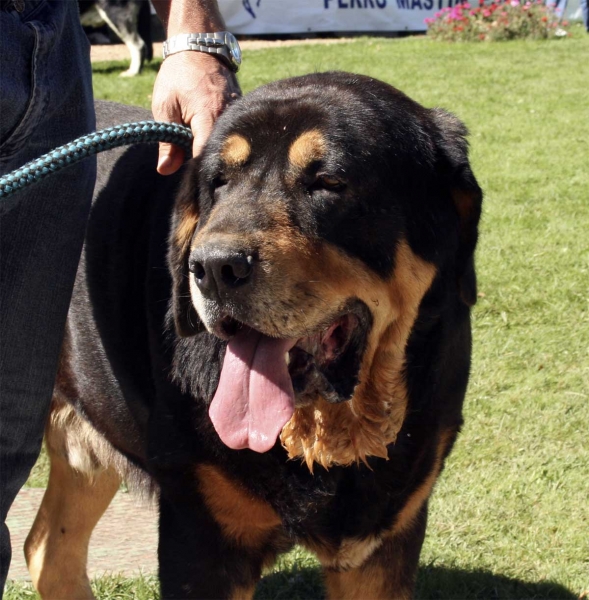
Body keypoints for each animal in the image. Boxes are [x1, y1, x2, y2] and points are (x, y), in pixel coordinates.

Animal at [24, 72, 482, 596]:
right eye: (218, 183)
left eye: (328, 182)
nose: (214, 267)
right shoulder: (201, 537)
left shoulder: (387, 540)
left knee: (47, 551)